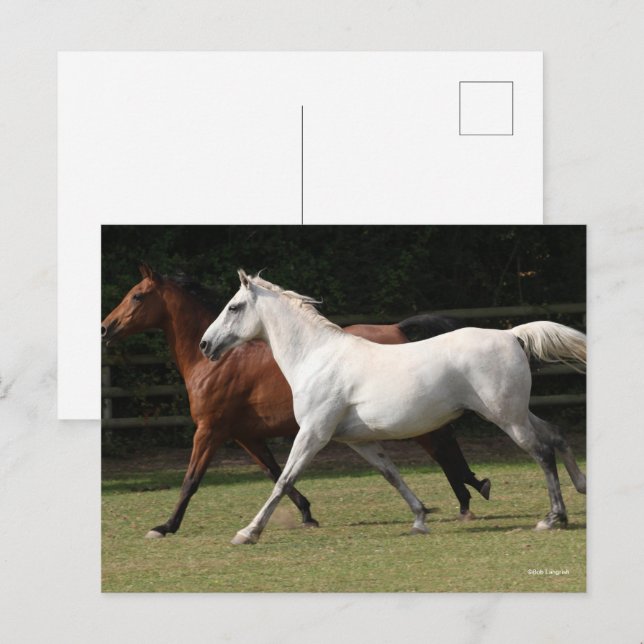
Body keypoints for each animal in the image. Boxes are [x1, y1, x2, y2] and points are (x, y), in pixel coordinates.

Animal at [101, 264, 490, 539]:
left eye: (137, 296)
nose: (105, 328)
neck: (215, 365)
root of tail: (396, 328)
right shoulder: (245, 435)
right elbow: (276, 472)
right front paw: (306, 513)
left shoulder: (210, 430)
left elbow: (192, 480)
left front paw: (165, 526)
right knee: (443, 446)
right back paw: (467, 494)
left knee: (442, 446)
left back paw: (467, 497)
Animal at [200, 270, 587, 545]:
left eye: (233, 307)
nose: (206, 345)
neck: (317, 358)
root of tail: (511, 335)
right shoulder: (358, 441)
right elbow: (392, 475)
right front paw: (419, 519)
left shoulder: (313, 434)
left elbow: (283, 480)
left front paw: (247, 533)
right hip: (515, 412)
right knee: (555, 435)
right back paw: (580, 489)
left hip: (506, 417)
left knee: (542, 452)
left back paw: (553, 518)